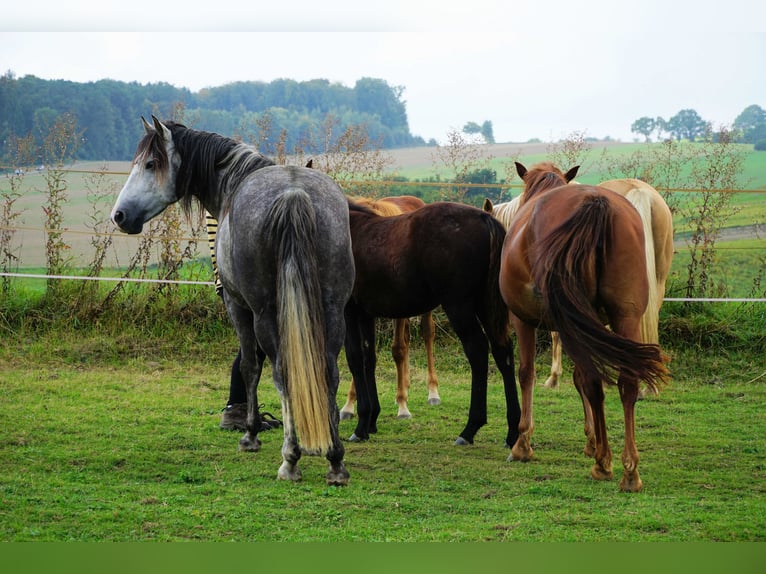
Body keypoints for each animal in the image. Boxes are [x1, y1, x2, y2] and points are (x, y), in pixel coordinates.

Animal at [111, 116, 356, 486]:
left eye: (151, 164)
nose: (120, 215)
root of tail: (294, 193)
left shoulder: (238, 307)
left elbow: (250, 366)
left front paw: (251, 434)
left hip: (266, 313)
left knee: (280, 372)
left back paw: (290, 459)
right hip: (331, 311)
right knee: (329, 372)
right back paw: (335, 460)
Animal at [500, 162, 668, 496]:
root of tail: (596, 203)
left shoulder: (523, 320)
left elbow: (527, 373)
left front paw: (523, 443)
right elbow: (581, 379)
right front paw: (592, 440)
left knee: (592, 381)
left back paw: (604, 464)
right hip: (625, 315)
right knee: (625, 382)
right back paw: (629, 470)